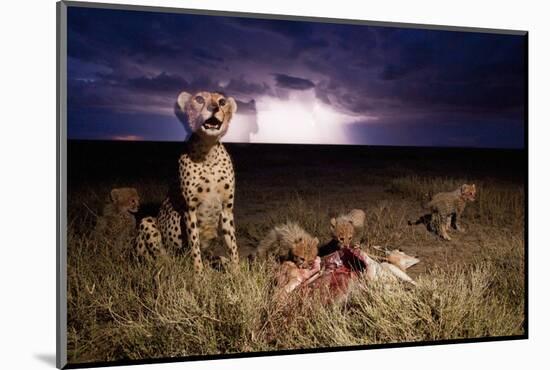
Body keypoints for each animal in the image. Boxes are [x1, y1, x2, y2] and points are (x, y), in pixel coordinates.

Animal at [137, 91, 239, 274]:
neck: (208, 153)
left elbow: (232, 244)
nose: (214, 107)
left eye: (222, 101)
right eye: (199, 99)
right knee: (160, 256)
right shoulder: (189, 210)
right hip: (147, 224)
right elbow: (194, 244)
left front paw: (237, 272)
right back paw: (169, 266)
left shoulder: (227, 208)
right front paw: (199, 275)